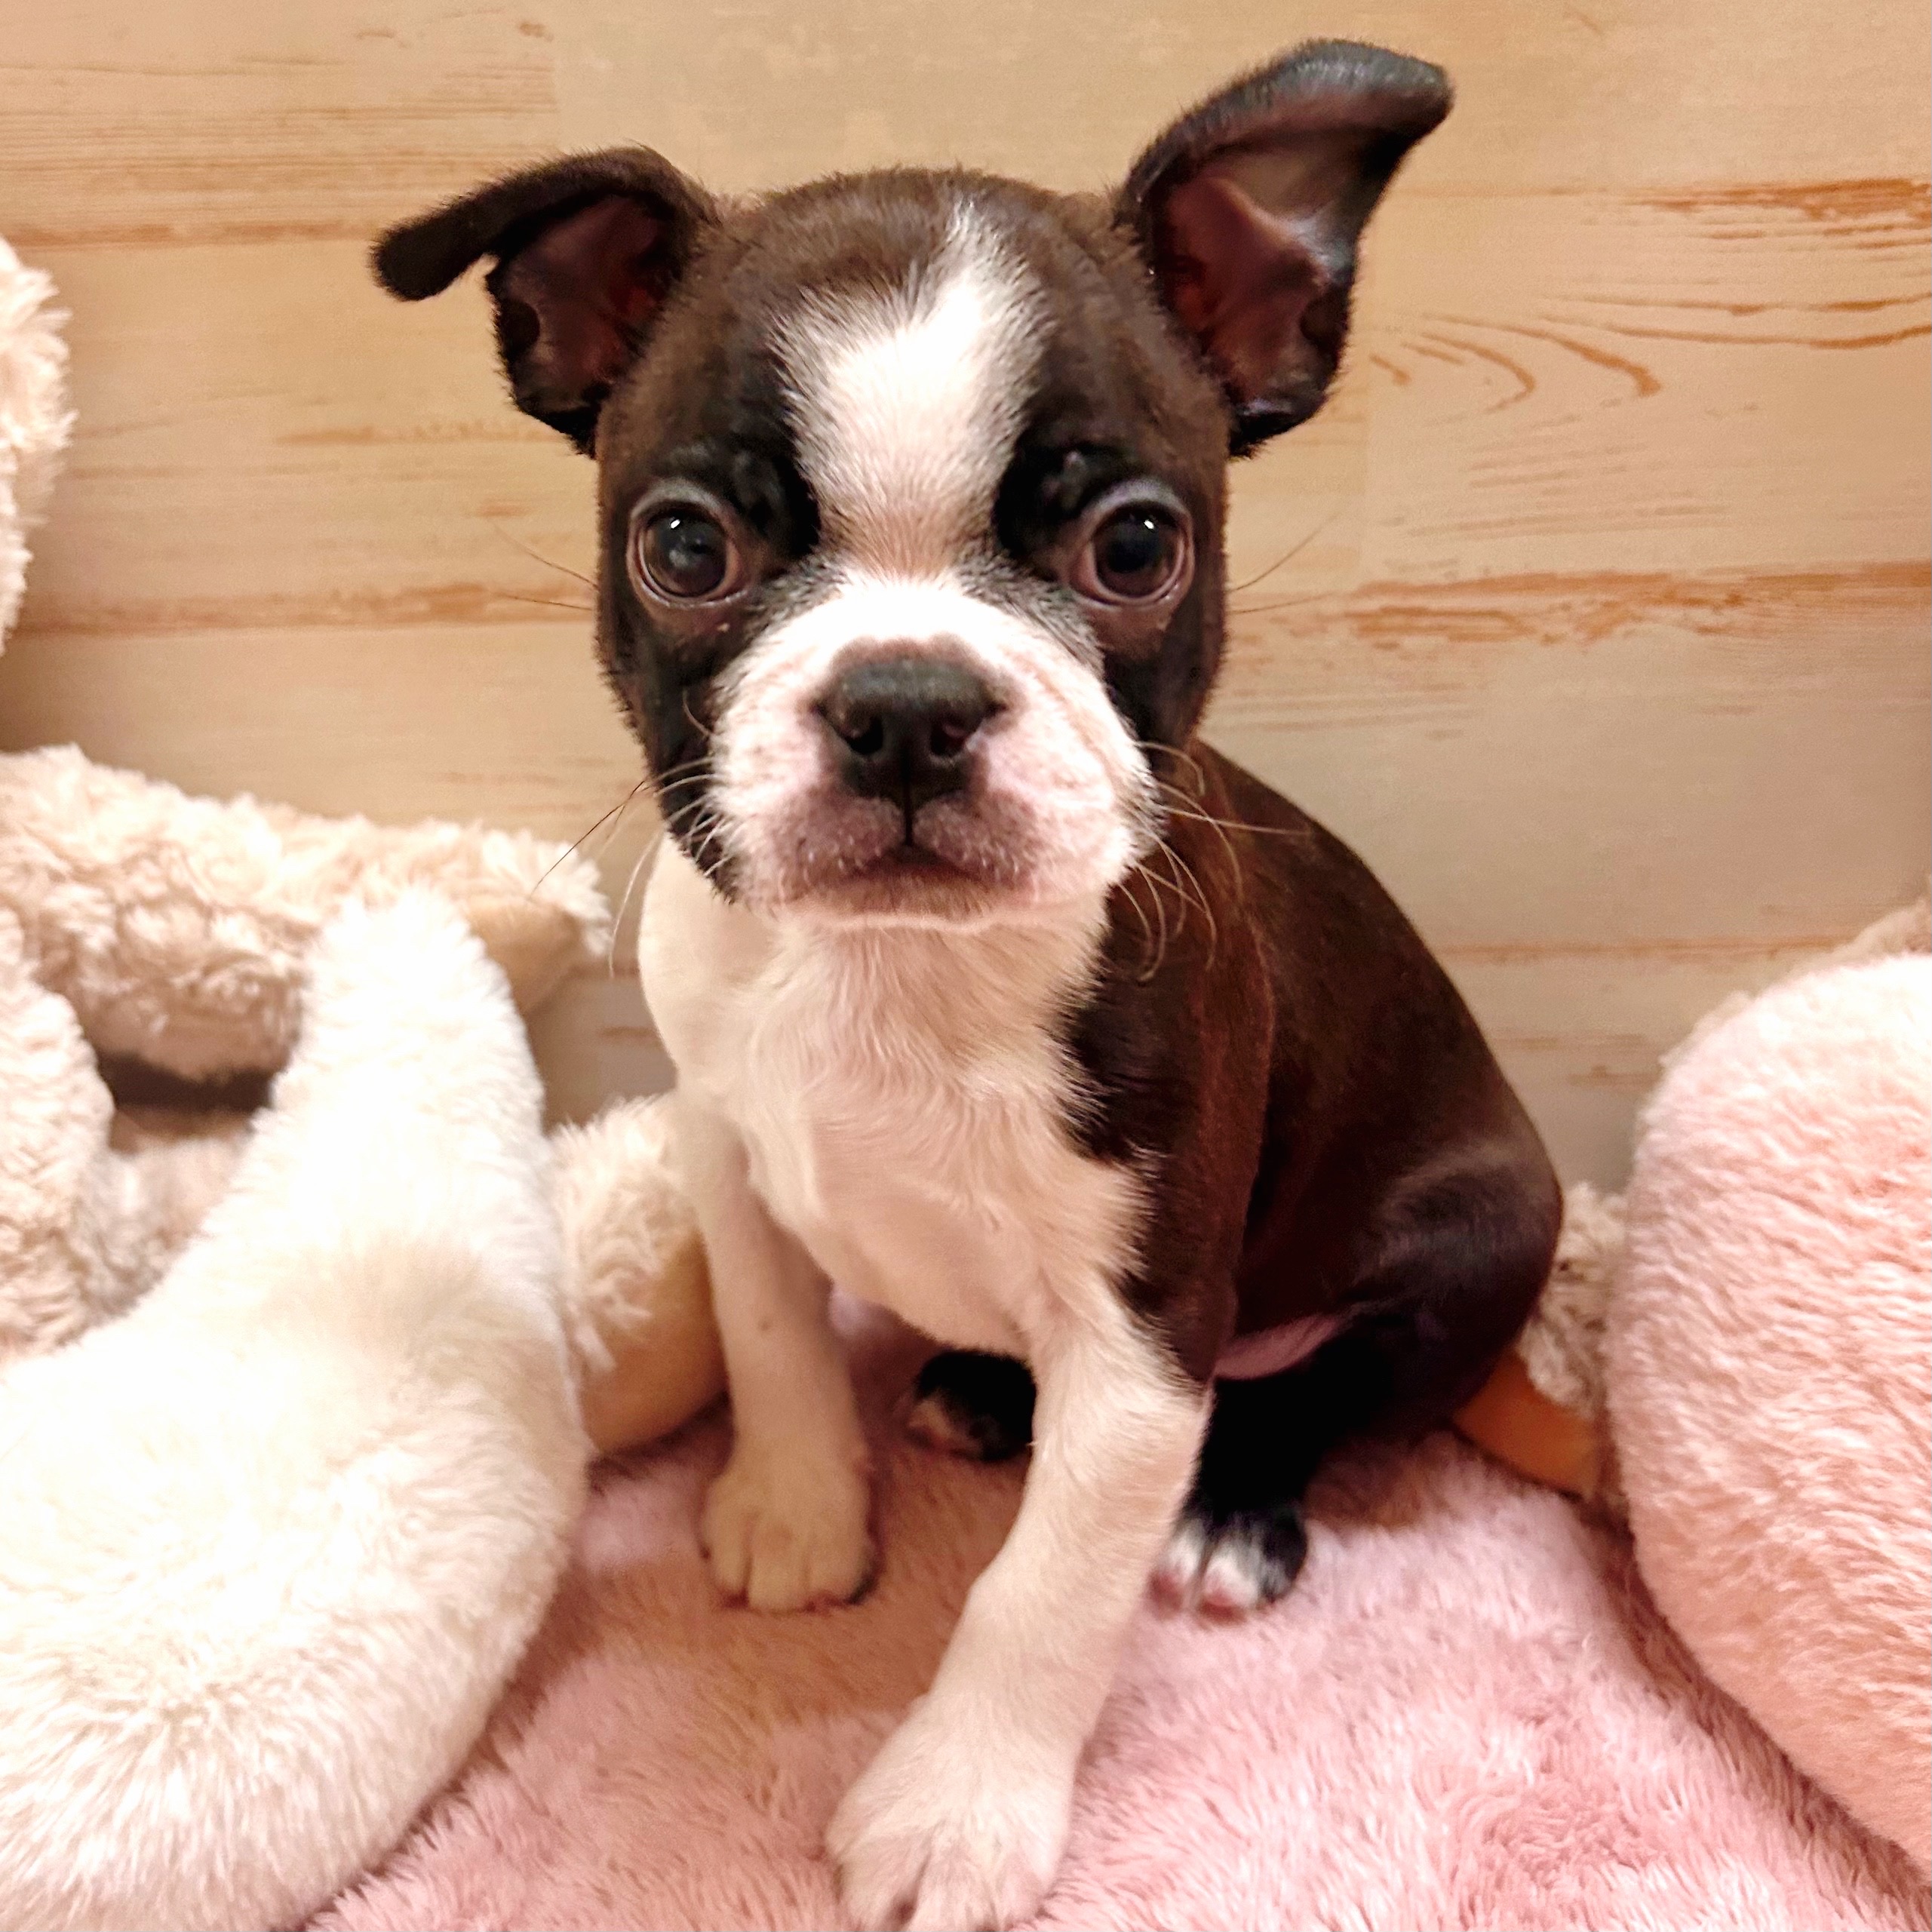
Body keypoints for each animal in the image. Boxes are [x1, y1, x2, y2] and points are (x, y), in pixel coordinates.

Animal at [375, 39, 1562, 1929]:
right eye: (683, 548)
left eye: (1133, 547)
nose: (906, 701)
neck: (893, 969)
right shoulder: (728, 1148)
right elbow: (775, 1338)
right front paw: (796, 1514)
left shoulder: (1146, 1332)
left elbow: (1043, 1586)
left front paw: (955, 1808)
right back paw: (973, 1390)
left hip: (1474, 1241)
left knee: (1321, 1392)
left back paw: (1229, 1511)